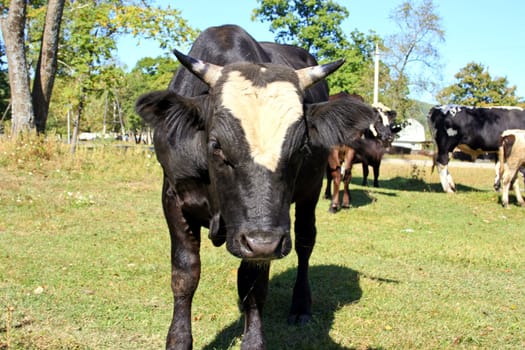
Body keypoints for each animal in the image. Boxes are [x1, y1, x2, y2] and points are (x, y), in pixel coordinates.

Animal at [133, 25, 374, 350]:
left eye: (302, 147)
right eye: (216, 145)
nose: (263, 242)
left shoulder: (267, 232)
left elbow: (253, 284)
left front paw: (254, 340)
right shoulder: (173, 197)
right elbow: (185, 273)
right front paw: (179, 340)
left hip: (310, 193)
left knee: (305, 242)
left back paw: (301, 306)